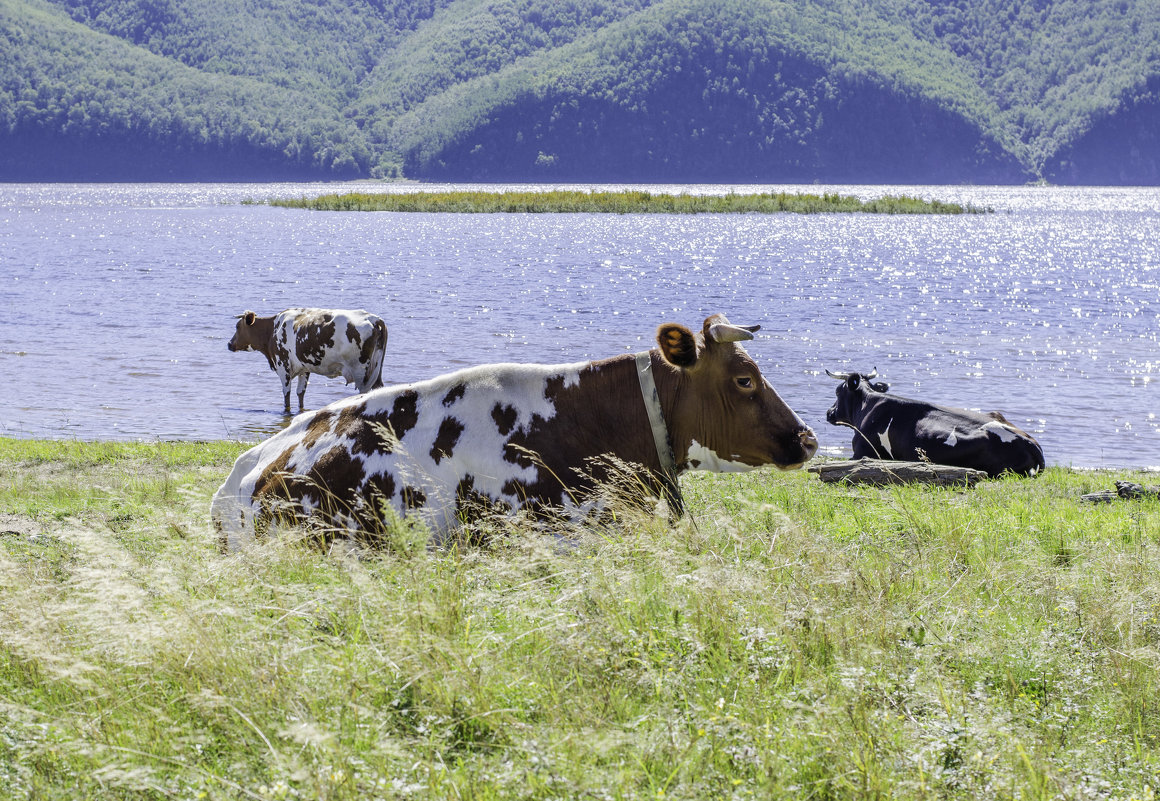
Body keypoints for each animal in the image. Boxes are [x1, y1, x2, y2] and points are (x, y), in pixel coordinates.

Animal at [227, 308, 389, 412]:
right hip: (376, 368)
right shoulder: (304, 369)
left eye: (237, 326)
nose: (229, 344)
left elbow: (286, 394)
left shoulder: (283, 365)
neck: (273, 329)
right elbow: (300, 393)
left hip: (361, 373)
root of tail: (375, 320)